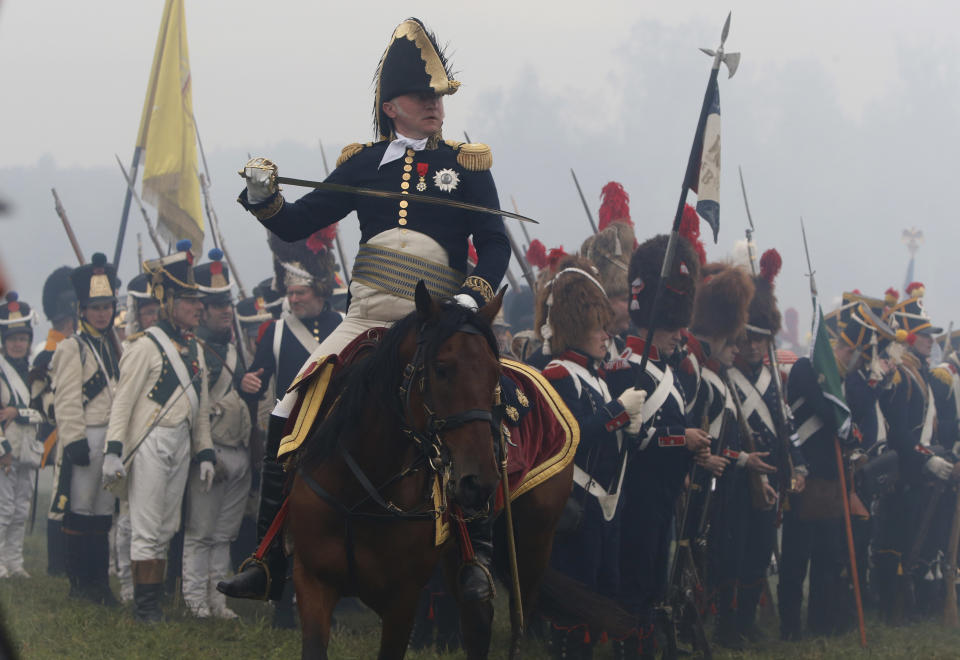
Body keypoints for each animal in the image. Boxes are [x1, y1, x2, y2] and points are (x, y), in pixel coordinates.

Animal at [284, 284, 568, 660]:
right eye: (441, 368)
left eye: (495, 374)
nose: (480, 482)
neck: (362, 491)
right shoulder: (313, 581)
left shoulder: (402, 600)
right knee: (478, 624)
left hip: (534, 543)